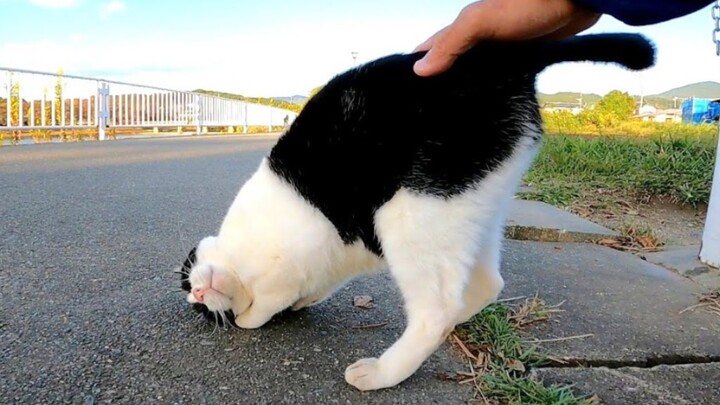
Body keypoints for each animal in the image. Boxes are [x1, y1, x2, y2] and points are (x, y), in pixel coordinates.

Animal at [177, 33, 656, 390]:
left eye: (189, 275)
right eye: (194, 301)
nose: (197, 294)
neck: (245, 268)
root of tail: (505, 57)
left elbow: (259, 308)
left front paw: (250, 315)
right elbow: (292, 292)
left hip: (415, 209)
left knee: (435, 310)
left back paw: (383, 372)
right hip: (467, 209)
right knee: (486, 284)